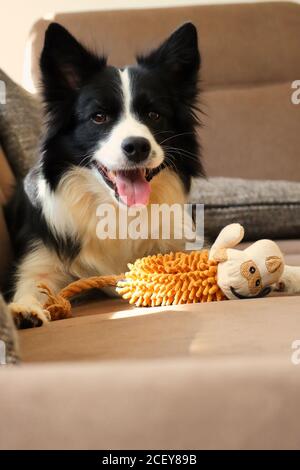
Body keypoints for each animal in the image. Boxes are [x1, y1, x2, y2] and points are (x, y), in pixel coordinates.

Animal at [7, 22, 203, 328]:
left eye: (154, 115)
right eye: (99, 117)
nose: (137, 146)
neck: (116, 211)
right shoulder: (40, 259)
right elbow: (31, 283)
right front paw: (24, 309)